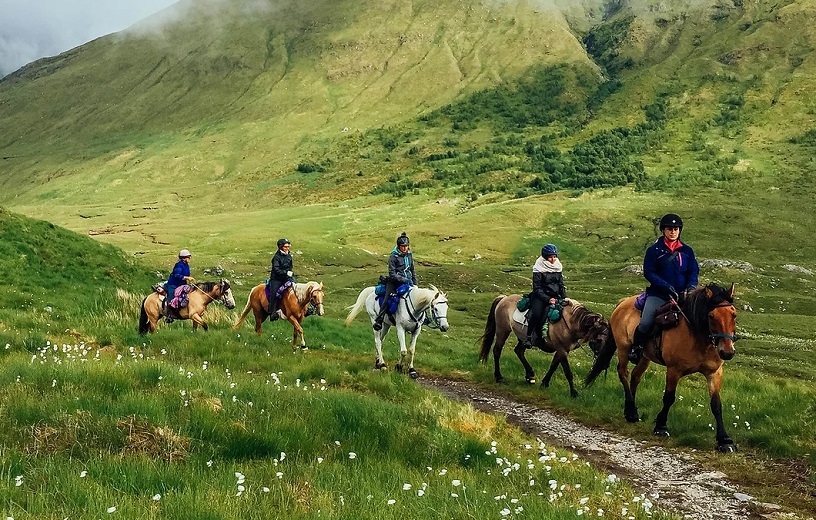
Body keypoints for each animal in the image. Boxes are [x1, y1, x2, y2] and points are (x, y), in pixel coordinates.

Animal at [478, 296, 612, 398]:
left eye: (609, 341)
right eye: (600, 340)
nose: (604, 365)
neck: (570, 322)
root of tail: (503, 298)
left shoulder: (562, 350)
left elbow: (553, 366)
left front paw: (544, 383)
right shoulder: (562, 350)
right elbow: (568, 372)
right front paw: (574, 393)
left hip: (523, 338)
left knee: (519, 351)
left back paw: (530, 375)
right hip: (503, 330)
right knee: (497, 351)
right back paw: (499, 377)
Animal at [584, 284, 736, 450]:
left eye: (734, 315)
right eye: (711, 316)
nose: (727, 352)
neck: (698, 338)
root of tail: (623, 302)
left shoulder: (714, 373)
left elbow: (716, 405)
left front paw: (724, 440)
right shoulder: (673, 370)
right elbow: (669, 398)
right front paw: (661, 427)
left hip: (644, 357)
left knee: (635, 377)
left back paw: (629, 412)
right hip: (623, 349)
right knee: (623, 373)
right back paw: (631, 412)